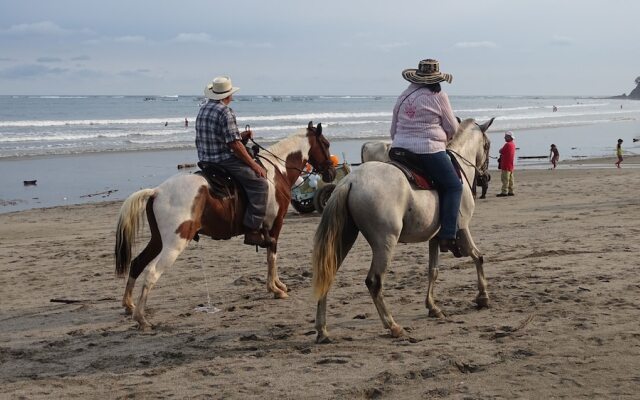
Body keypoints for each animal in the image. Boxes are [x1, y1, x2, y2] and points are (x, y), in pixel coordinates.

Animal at [116, 122, 336, 332]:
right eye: (325, 144)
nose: (331, 172)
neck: (275, 172)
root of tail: (157, 192)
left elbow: (270, 256)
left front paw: (278, 284)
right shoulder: (275, 224)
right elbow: (272, 256)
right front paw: (275, 289)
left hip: (158, 240)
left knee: (137, 263)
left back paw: (129, 305)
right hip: (175, 243)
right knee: (151, 273)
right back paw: (141, 318)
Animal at [312, 117, 492, 342]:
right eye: (487, 145)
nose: (486, 176)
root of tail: (350, 181)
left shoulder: (434, 238)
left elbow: (433, 271)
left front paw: (433, 307)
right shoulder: (463, 228)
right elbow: (478, 256)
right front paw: (483, 297)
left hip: (344, 237)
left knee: (327, 275)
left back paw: (322, 330)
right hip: (385, 241)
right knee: (374, 282)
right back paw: (393, 326)